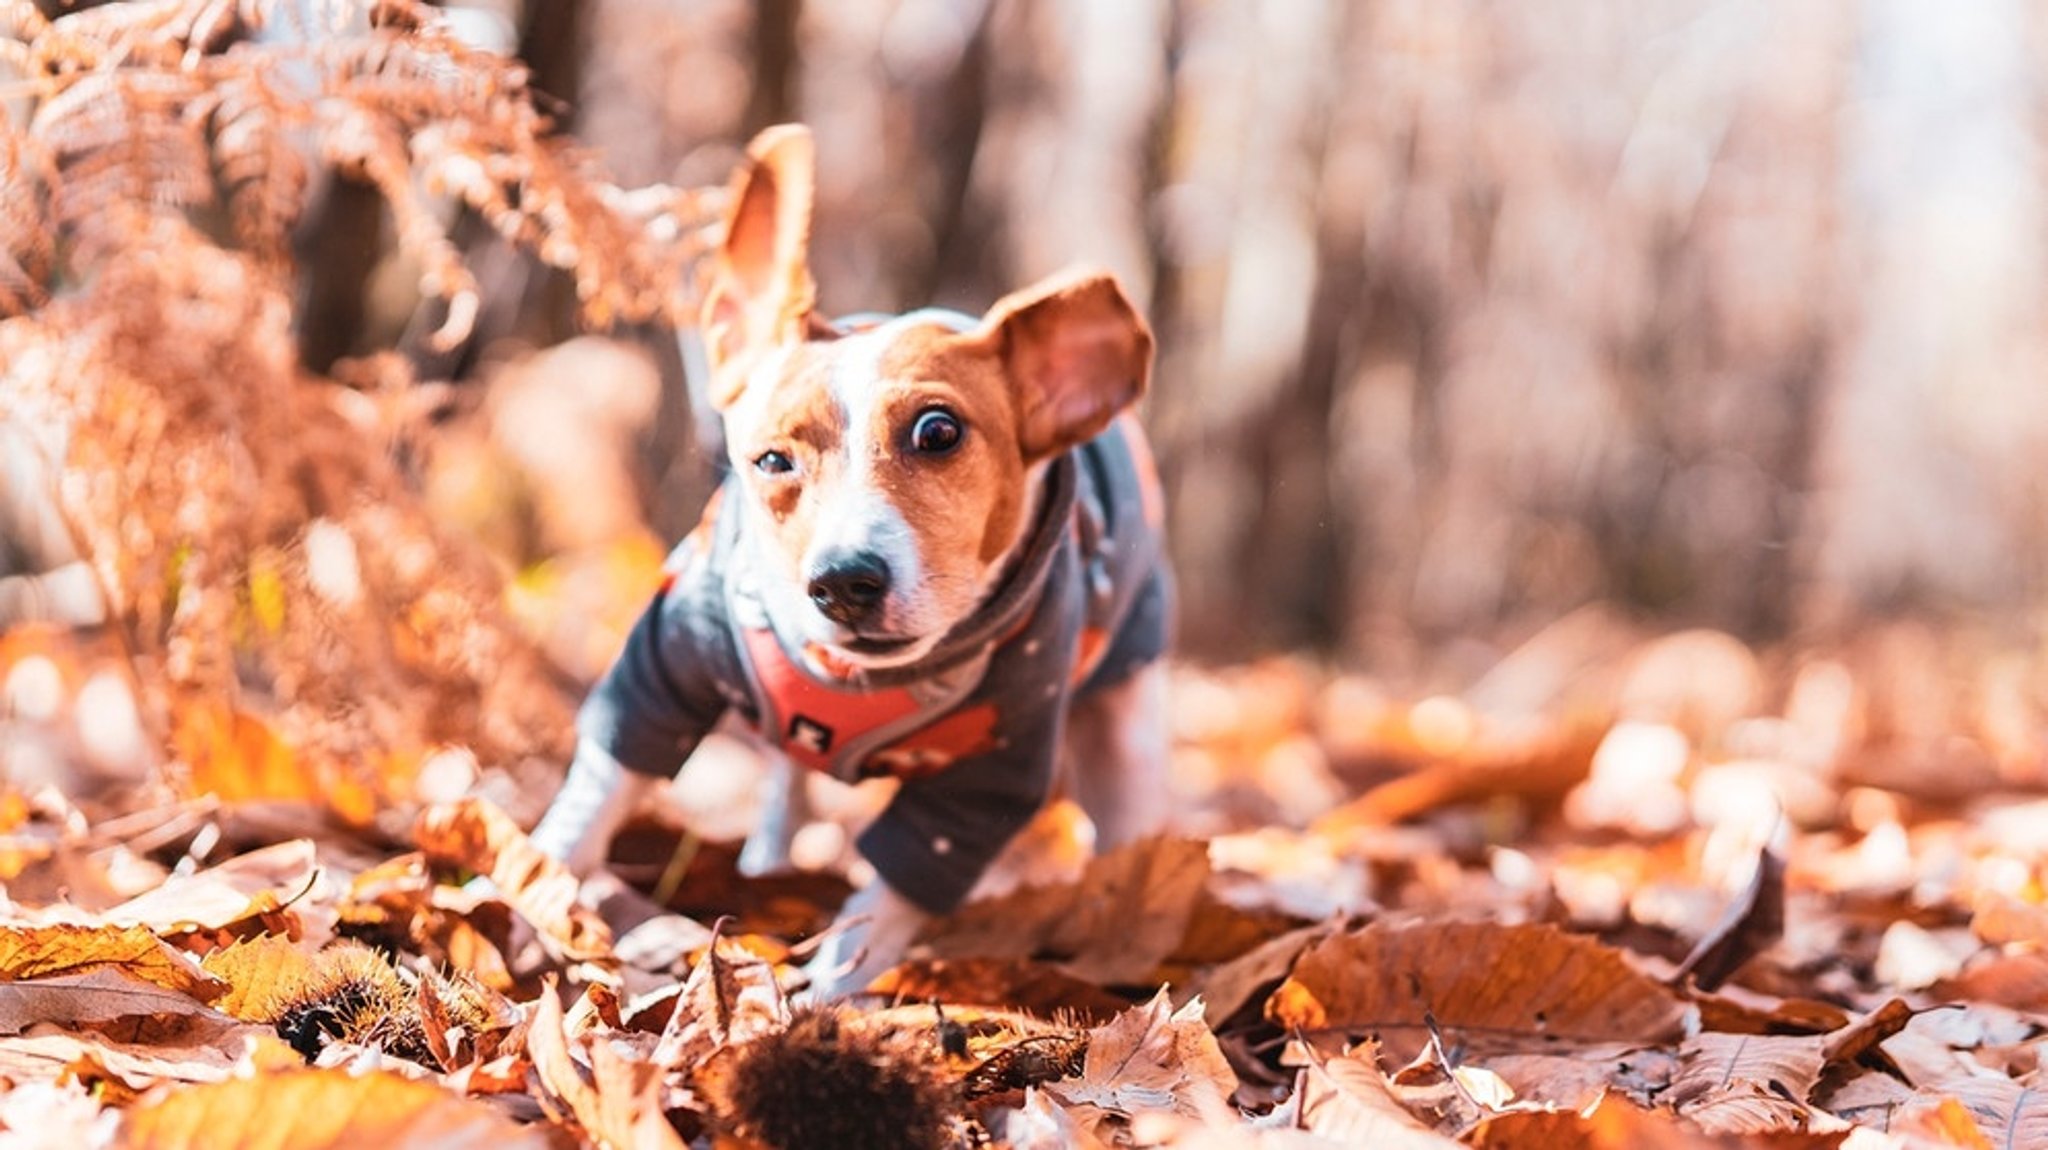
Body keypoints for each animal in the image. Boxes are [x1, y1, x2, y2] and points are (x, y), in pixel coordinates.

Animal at [528, 120, 1171, 990]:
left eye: (939, 430)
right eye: (771, 460)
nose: (843, 583)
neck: (860, 683)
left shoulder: (991, 773)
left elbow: (892, 891)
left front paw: (833, 987)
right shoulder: (663, 659)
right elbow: (602, 785)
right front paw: (527, 905)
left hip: (1127, 704)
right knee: (787, 777)